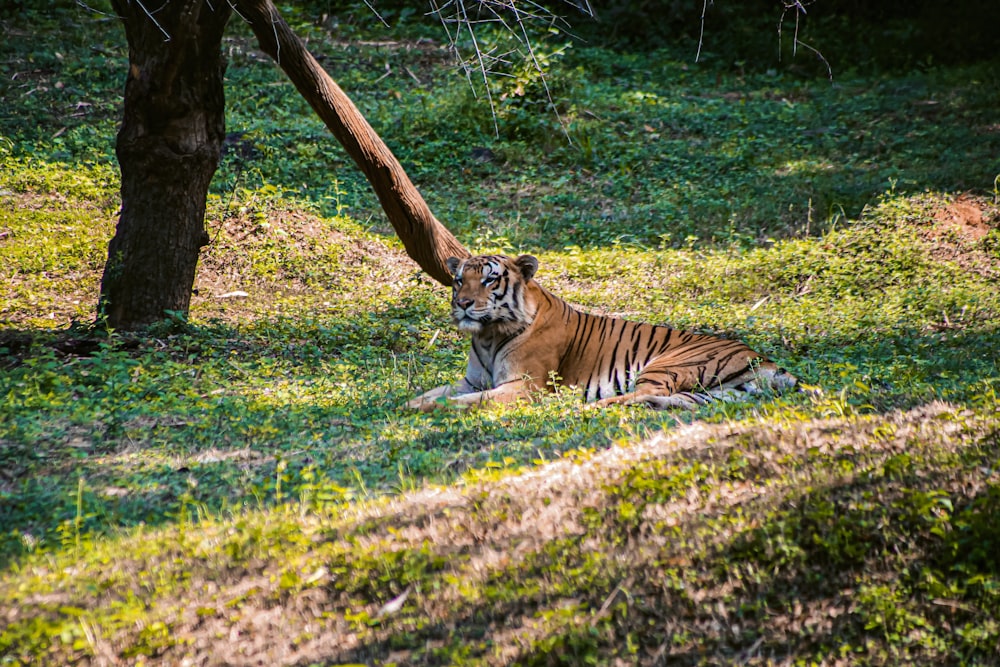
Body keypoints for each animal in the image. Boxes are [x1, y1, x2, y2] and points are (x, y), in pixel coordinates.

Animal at [406, 253, 796, 412]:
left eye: (489, 279)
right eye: (459, 280)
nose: (463, 304)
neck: (487, 335)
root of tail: (763, 358)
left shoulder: (522, 386)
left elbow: (462, 401)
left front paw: (422, 408)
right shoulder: (471, 380)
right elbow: (436, 391)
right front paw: (405, 403)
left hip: (668, 364)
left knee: (641, 394)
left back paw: (580, 407)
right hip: (715, 395)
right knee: (671, 401)